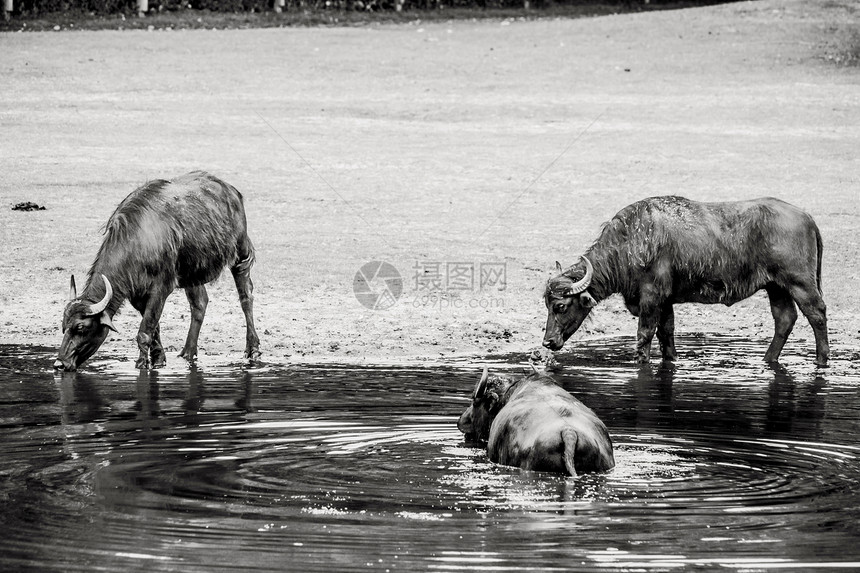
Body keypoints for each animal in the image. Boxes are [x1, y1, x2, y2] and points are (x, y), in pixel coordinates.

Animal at [55, 171, 260, 370]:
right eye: (64, 327)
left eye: (80, 327)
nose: (60, 363)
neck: (138, 241)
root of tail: (231, 191)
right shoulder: (137, 295)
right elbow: (154, 329)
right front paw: (158, 359)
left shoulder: (161, 289)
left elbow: (144, 331)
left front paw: (142, 364)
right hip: (192, 273)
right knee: (199, 304)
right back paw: (188, 353)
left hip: (241, 254)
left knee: (246, 296)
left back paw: (253, 349)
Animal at [540, 197, 828, 366]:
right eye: (547, 304)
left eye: (560, 306)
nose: (547, 342)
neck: (631, 242)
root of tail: (807, 217)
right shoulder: (666, 301)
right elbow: (666, 333)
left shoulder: (651, 297)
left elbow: (644, 335)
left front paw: (641, 362)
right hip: (776, 287)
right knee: (785, 318)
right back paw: (767, 360)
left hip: (800, 283)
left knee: (817, 314)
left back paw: (822, 361)